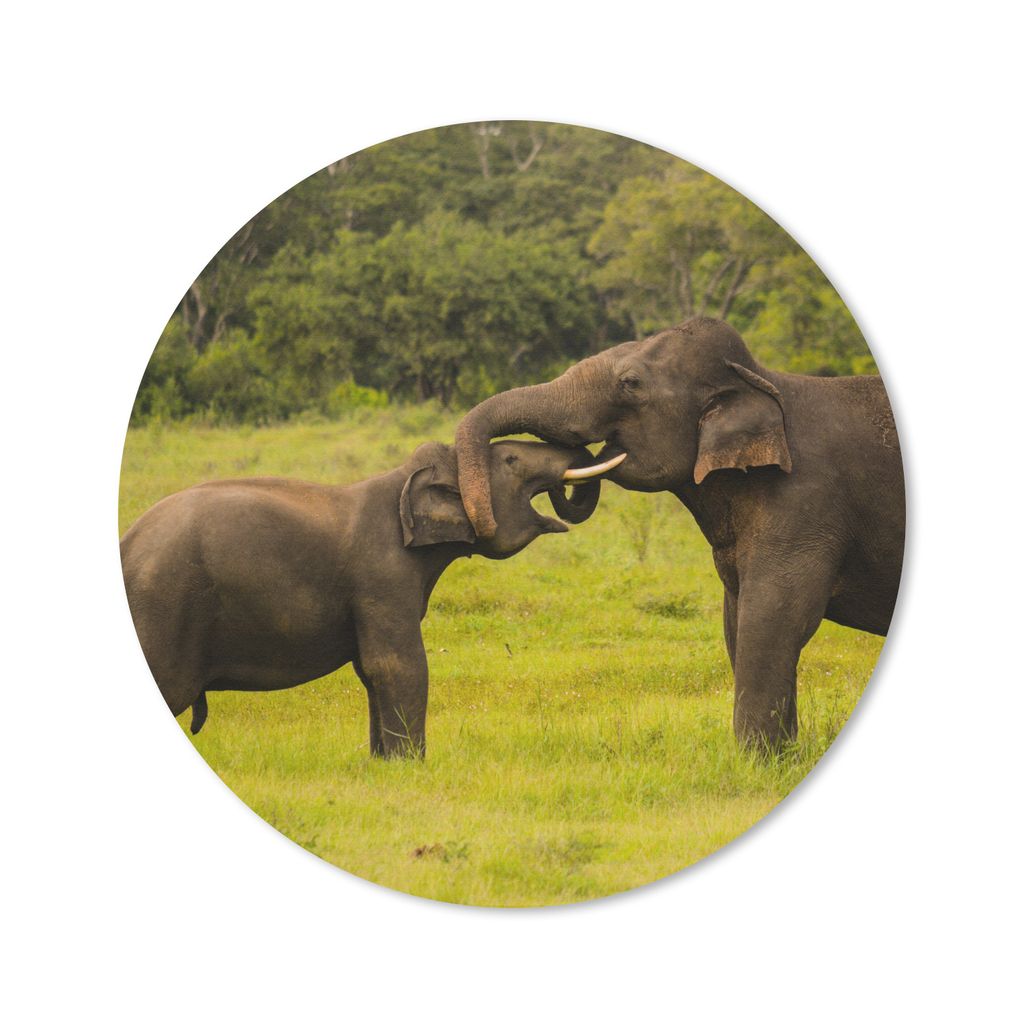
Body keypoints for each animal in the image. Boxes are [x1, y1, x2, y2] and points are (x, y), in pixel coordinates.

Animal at [120, 439, 624, 757]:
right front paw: (410, 767)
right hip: (164, 608)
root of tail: (127, 542)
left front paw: (382, 764)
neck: (403, 480)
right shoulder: (383, 574)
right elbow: (397, 664)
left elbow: (369, 669)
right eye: (513, 460)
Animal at [455, 317, 905, 749]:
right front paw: (782, 757)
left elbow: (773, 620)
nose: (486, 526)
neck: (759, 380)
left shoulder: (805, 505)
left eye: (631, 383)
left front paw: (758, 761)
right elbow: (736, 622)